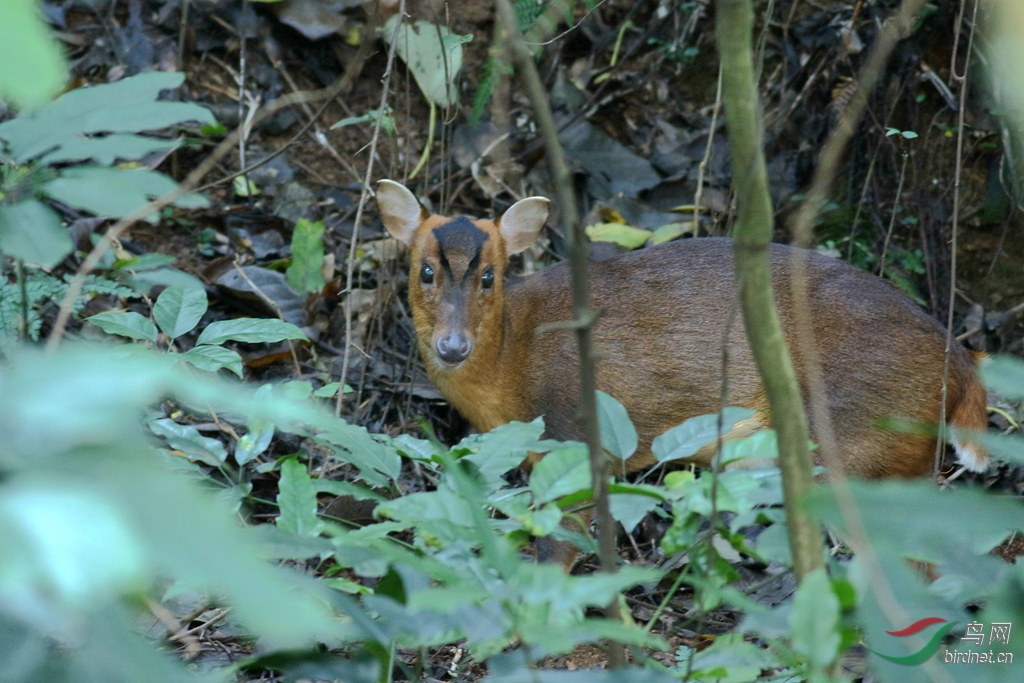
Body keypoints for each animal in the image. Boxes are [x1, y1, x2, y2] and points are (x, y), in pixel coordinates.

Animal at [374, 181, 983, 481]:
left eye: (490, 276)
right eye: (424, 270)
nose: (454, 346)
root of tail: (962, 363)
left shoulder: (576, 425)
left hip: (848, 427)